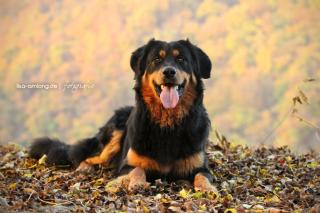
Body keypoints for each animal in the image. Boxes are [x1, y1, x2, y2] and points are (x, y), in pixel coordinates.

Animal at [29, 39, 218, 192]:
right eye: (156, 60)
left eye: (181, 60)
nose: (169, 72)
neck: (167, 123)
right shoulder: (126, 165)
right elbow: (137, 169)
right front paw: (136, 183)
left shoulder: (200, 167)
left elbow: (202, 176)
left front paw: (208, 189)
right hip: (114, 135)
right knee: (88, 155)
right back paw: (85, 168)